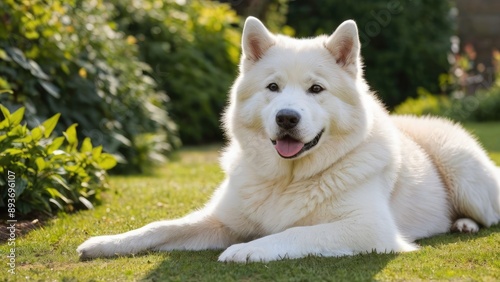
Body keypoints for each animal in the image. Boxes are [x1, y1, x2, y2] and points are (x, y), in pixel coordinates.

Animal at [77, 16, 500, 262]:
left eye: (316, 89)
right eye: (273, 87)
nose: (286, 117)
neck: (288, 178)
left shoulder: (369, 228)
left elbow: (296, 232)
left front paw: (246, 250)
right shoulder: (220, 220)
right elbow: (160, 227)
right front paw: (104, 244)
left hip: (463, 173)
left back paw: (464, 224)